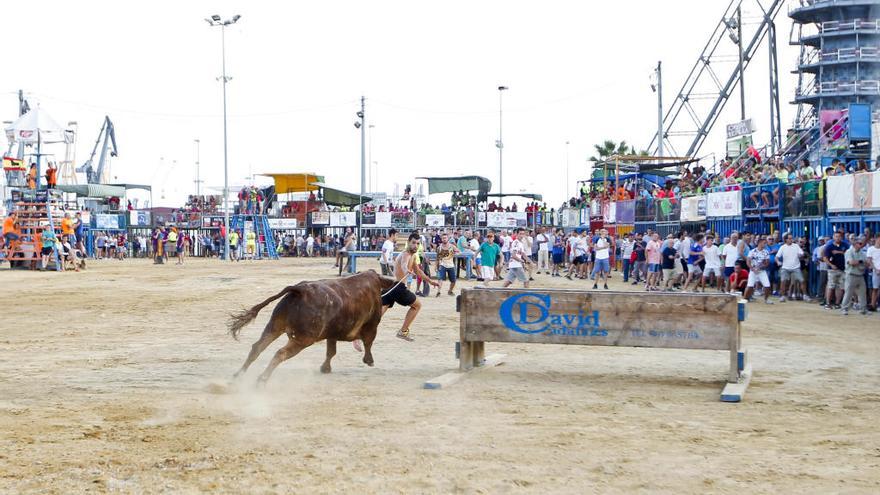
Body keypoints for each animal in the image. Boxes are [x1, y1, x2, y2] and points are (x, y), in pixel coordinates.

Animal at [227, 272, 396, 384]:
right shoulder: (372, 325)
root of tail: (300, 290)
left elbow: (331, 351)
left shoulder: (332, 333)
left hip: (274, 326)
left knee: (257, 347)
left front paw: (325, 368)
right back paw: (262, 379)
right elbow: (368, 342)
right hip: (303, 339)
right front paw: (369, 360)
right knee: (280, 353)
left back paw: (238, 375)